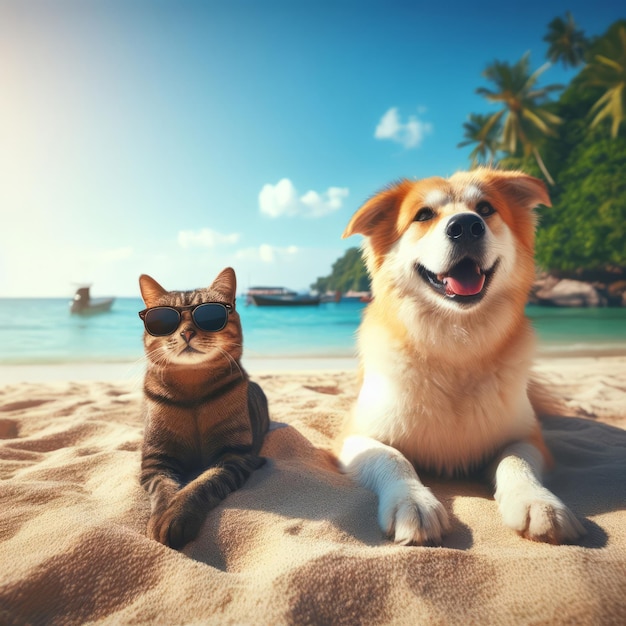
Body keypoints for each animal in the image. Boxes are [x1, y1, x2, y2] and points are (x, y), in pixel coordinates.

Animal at [138, 266, 266, 548]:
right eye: (164, 320)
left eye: (209, 314)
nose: (186, 332)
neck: (192, 391)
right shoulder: (156, 459)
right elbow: (164, 488)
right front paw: (162, 515)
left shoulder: (234, 455)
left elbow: (202, 484)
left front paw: (176, 514)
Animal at [336, 168, 584, 544]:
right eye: (423, 215)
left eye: (485, 208)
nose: (466, 226)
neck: (455, 349)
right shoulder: (356, 434)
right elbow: (392, 458)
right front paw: (413, 503)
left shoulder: (527, 437)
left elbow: (516, 460)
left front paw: (537, 503)